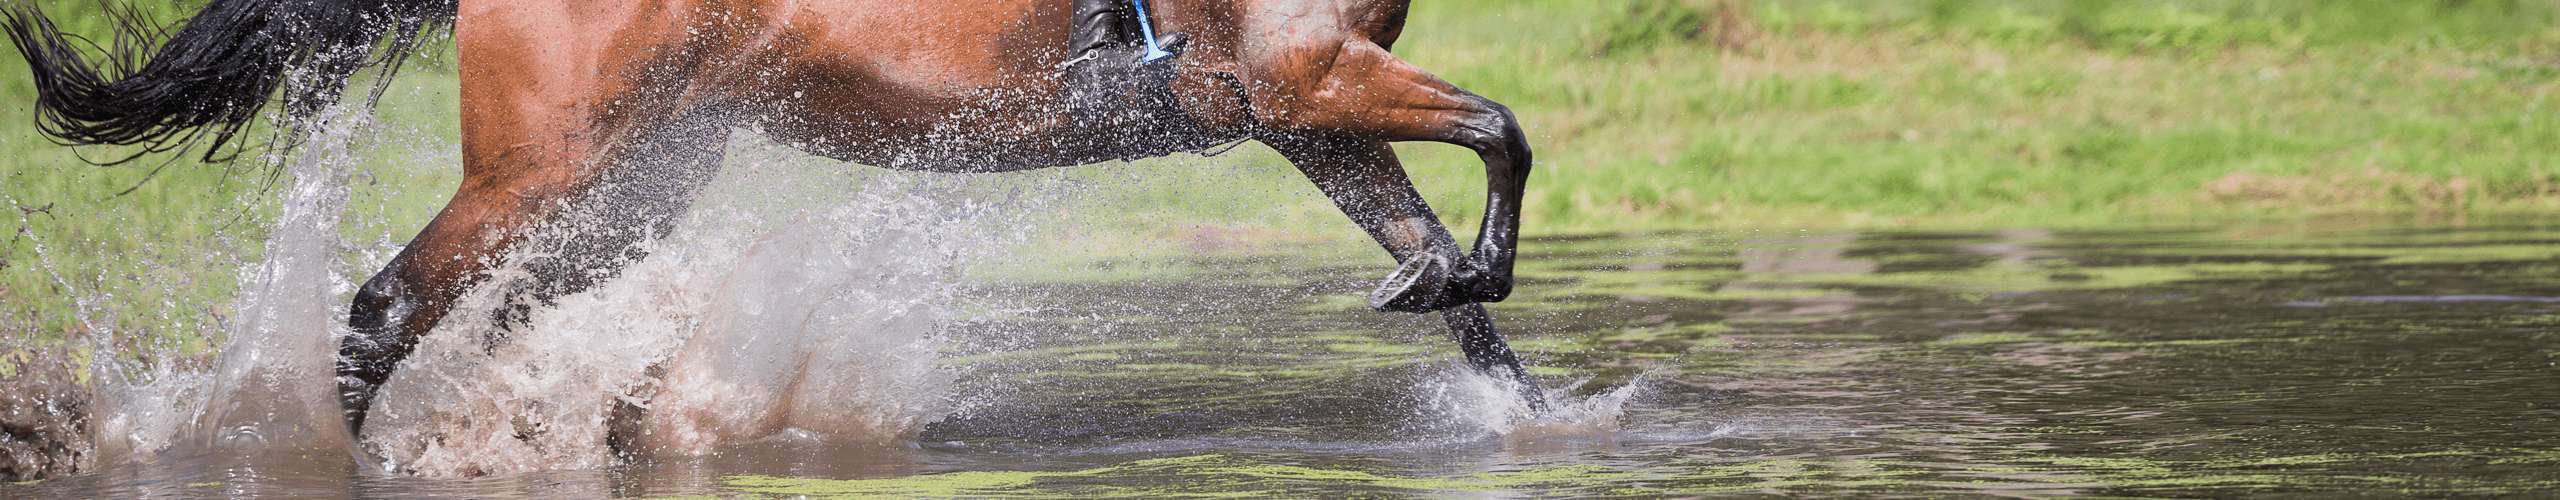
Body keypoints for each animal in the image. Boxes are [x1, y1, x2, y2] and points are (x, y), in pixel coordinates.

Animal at [5, 0, 1536, 433]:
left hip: (635, 184)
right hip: (539, 167)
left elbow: (1440, 259)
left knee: (492, 318)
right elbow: (1504, 137)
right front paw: (1461, 282)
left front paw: (1522, 409)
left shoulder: (1298, 102)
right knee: (388, 306)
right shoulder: (1310, 69)